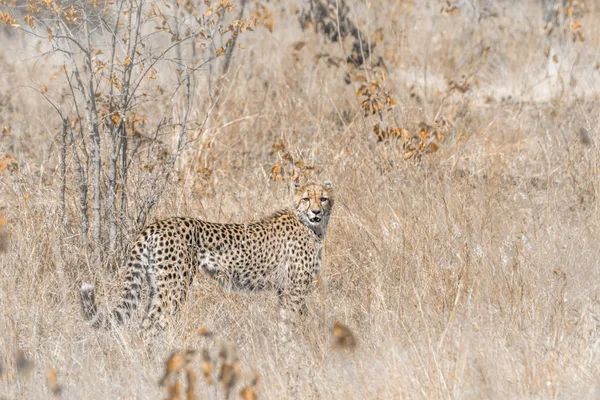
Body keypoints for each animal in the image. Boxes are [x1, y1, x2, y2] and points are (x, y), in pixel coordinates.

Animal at [79, 183, 332, 332]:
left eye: (324, 198)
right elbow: (293, 322)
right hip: (175, 287)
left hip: (156, 284)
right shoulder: (295, 289)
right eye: (307, 198)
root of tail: (155, 224)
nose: (316, 212)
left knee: (144, 321)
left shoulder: (283, 289)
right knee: (153, 323)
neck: (310, 225)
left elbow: (285, 321)